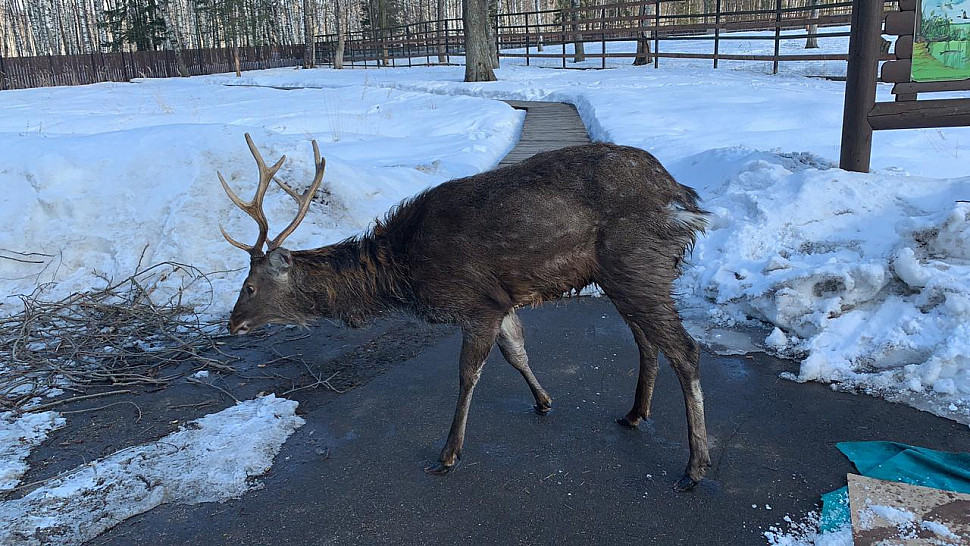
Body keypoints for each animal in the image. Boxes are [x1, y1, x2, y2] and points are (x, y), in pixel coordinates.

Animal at [217, 132, 712, 488]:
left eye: (249, 285)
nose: (232, 324)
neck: (405, 270)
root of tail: (682, 198)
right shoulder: (502, 300)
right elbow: (516, 353)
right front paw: (544, 401)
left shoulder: (475, 302)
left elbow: (467, 374)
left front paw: (448, 454)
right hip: (625, 274)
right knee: (648, 341)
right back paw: (634, 413)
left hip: (637, 261)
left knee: (685, 349)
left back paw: (694, 466)